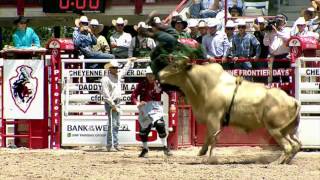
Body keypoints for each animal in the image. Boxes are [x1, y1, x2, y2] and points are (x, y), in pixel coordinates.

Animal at [159, 59, 302, 164]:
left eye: (175, 66)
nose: (160, 74)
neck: (207, 85)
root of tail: (292, 99)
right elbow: (209, 137)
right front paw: (202, 152)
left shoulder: (213, 118)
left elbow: (212, 138)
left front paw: (210, 159)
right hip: (287, 131)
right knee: (296, 145)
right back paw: (285, 161)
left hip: (275, 129)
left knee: (288, 146)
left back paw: (275, 162)